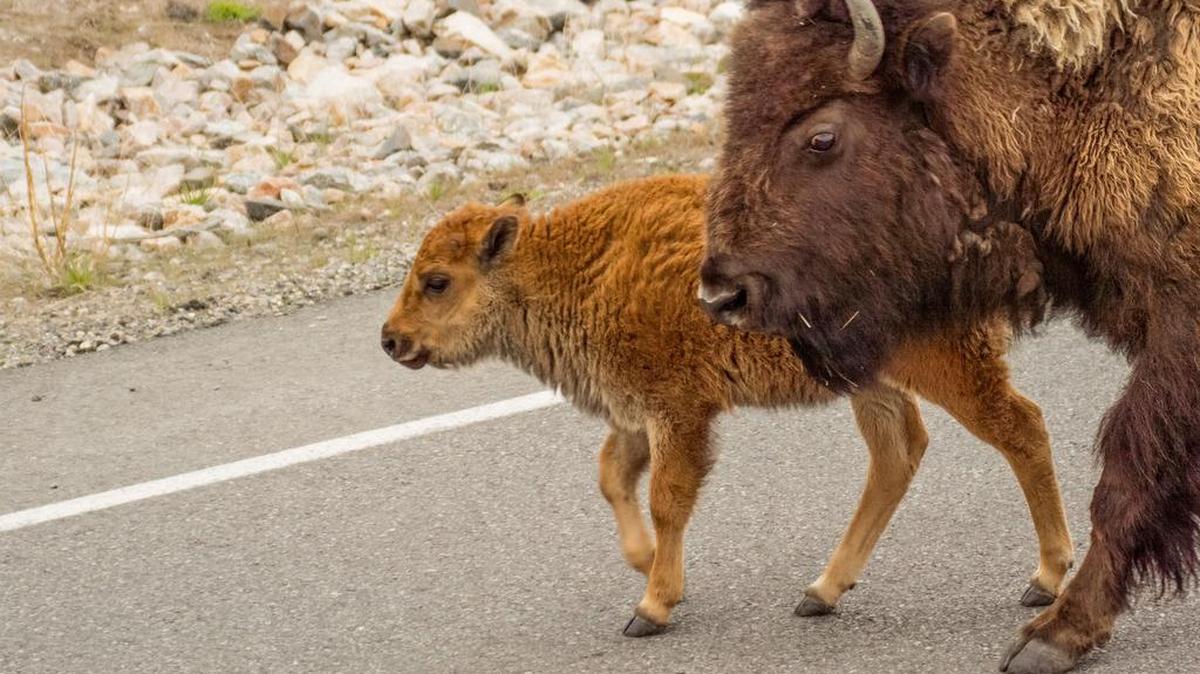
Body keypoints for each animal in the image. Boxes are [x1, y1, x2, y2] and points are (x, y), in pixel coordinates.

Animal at [380, 174, 1072, 637]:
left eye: (437, 281)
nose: (390, 339)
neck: (572, 266)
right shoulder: (635, 412)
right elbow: (612, 477)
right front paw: (647, 565)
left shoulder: (677, 411)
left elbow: (667, 498)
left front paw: (652, 606)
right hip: (870, 383)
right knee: (897, 456)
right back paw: (821, 591)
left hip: (946, 366)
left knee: (1020, 428)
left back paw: (1045, 579)